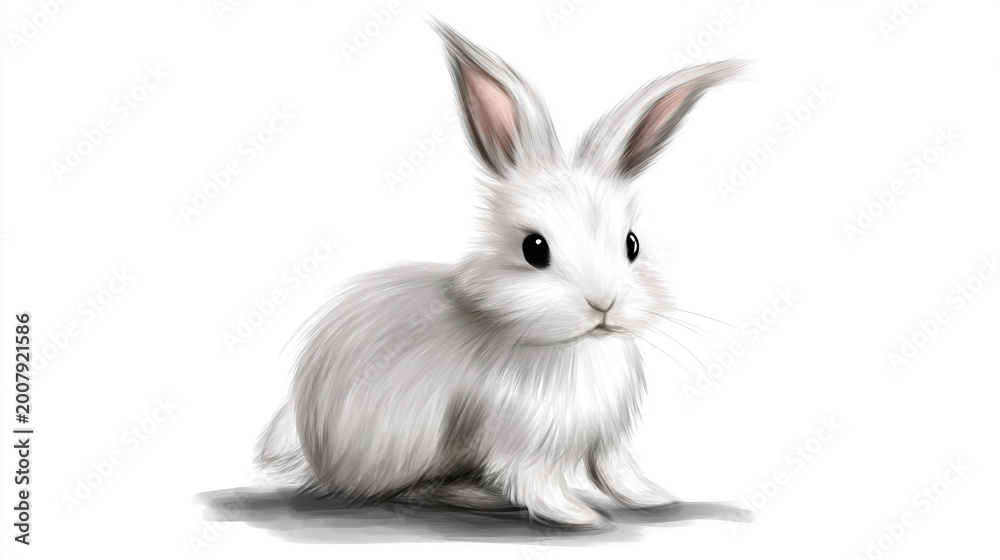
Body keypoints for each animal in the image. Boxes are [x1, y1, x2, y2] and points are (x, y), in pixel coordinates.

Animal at [255, 20, 746, 528]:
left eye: (631, 244)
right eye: (534, 248)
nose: (603, 304)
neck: (570, 347)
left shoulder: (607, 441)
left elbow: (617, 471)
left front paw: (653, 498)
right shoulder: (519, 443)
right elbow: (534, 481)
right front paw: (578, 516)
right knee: (401, 492)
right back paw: (474, 497)